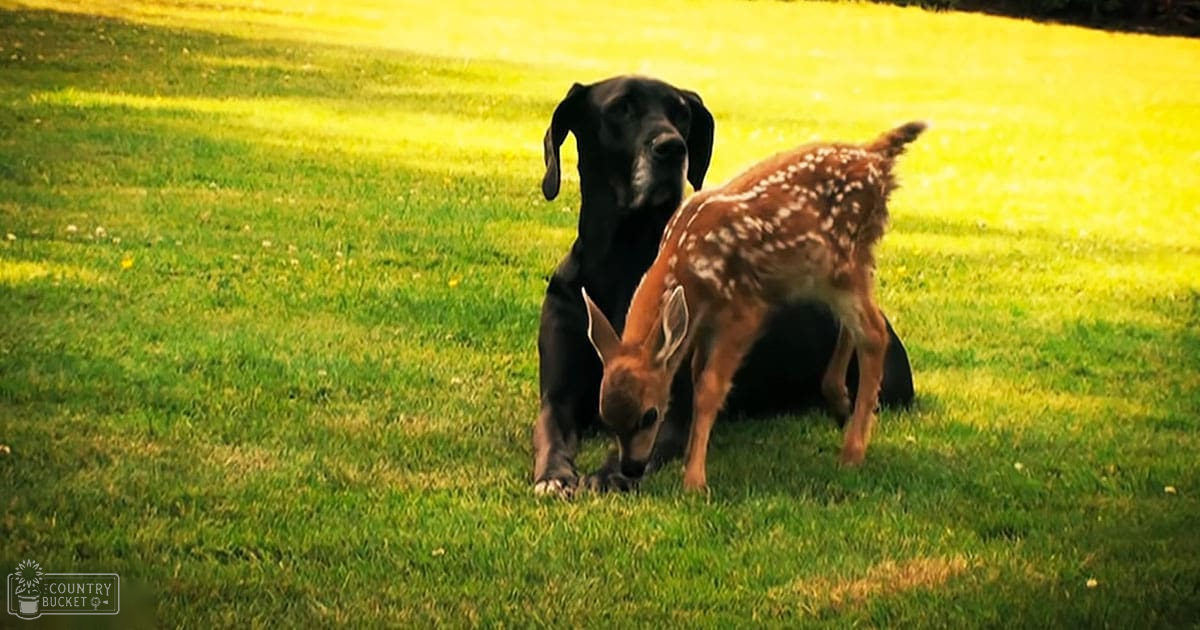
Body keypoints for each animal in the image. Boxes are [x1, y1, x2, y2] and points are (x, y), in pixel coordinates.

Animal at [532, 76, 914, 496]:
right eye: (620, 108)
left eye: (682, 112)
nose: (633, 467)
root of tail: (878, 155)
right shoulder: (562, 391)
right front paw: (559, 478)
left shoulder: (742, 310)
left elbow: (709, 389)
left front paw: (689, 481)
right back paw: (839, 402)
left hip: (843, 266)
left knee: (873, 333)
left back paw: (851, 451)